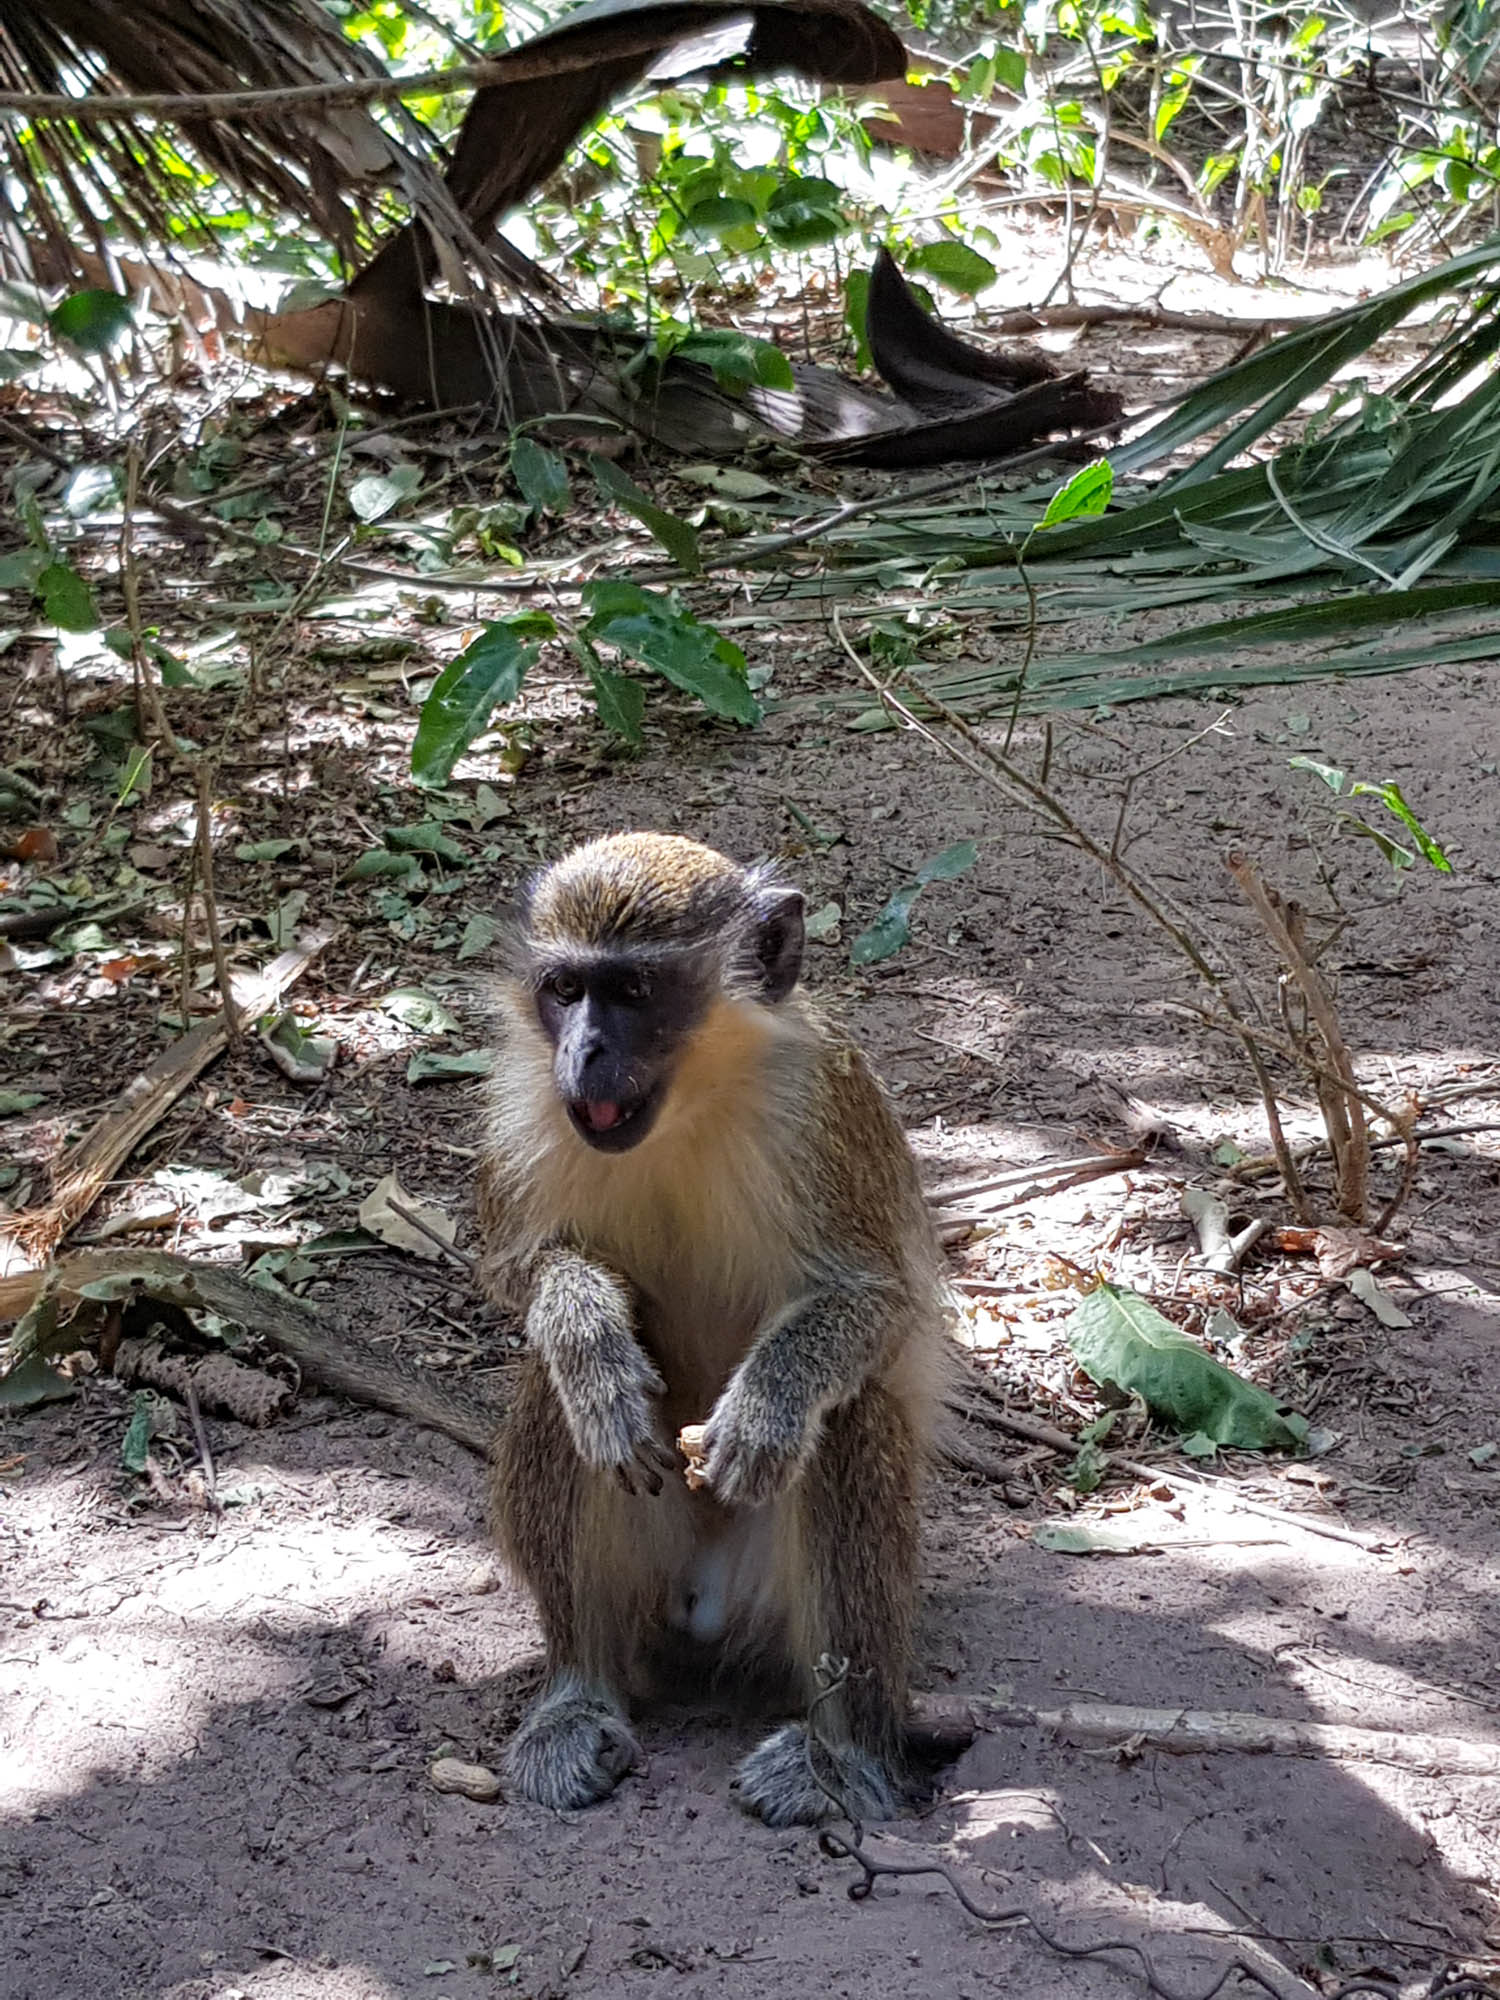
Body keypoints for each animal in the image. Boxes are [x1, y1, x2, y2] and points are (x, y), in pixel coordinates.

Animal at [474, 831, 949, 1828]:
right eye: (565, 989)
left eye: (633, 992)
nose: (585, 1053)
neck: (686, 1102)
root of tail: (702, 1605)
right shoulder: (522, 1108)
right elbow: (519, 1274)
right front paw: (590, 1338)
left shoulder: (824, 1109)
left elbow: (877, 1302)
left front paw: (766, 1411)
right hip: (649, 1579)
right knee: (560, 1400)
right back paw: (577, 1694)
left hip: (769, 1599)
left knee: (848, 1418)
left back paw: (842, 1753)